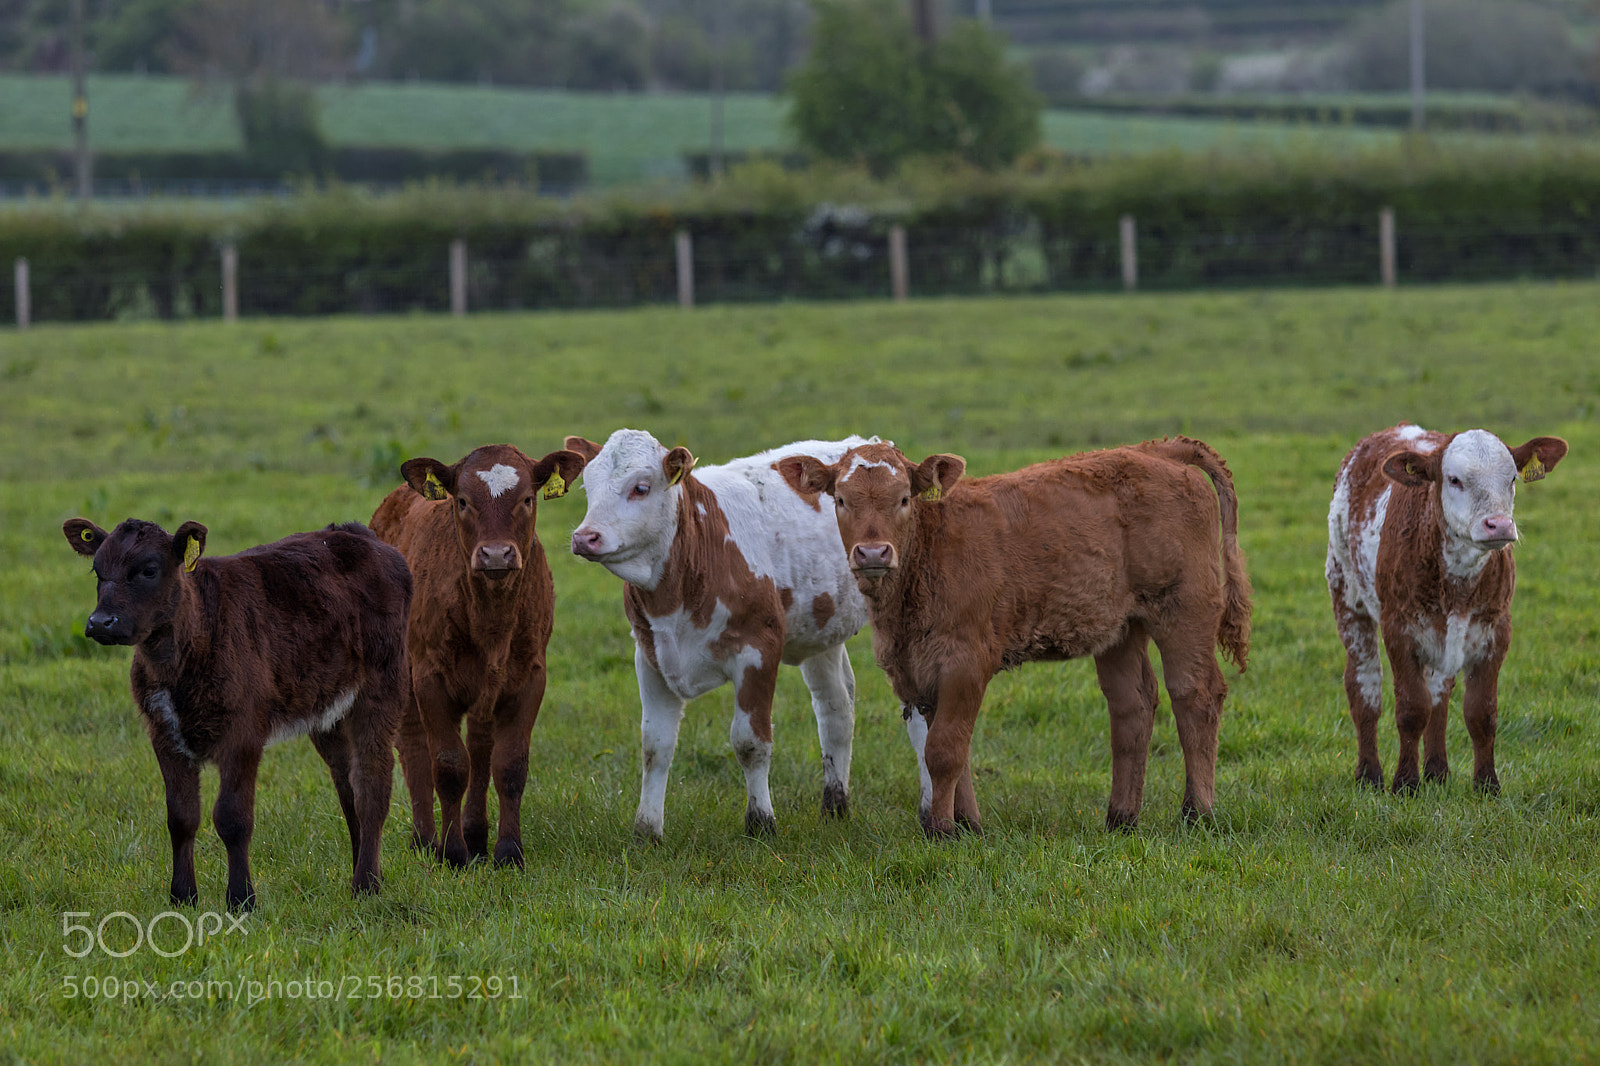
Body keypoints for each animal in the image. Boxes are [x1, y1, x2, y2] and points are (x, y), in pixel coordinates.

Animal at [62, 517, 411, 908]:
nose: (100, 622)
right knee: (348, 788)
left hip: (382, 689)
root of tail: (354, 532)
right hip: (330, 710)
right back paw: (362, 873)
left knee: (372, 786)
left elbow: (232, 818)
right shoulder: (164, 734)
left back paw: (366, 884)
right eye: (98, 571)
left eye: (149, 570)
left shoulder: (243, 734)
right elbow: (181, 817)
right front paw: (182, 896)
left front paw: (242, 899)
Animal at [370, 443, 588, 868]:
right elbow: (449, 765)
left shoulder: (530, 677)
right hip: (401, 670)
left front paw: (508, 850)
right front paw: (452, 852)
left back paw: (476, 835)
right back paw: (426, 838)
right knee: (413, 743)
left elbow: (510, 765)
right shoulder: (430, 677)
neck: (492, 619)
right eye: (463, 501)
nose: (496, 554)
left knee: (481, 746)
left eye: (527, 499)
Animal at [564, 429, 873, 842]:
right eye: (587, 486)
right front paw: (647, 829)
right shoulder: (649, 656)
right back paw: (835, 807)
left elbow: (750, 742)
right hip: (821, 635)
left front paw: (761, 822)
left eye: (640, 488)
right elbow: (655, 746)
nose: (586, 537)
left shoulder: (759, 650)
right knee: (835, 709)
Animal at [777, 437, 1252, 837]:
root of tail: (1157, 450)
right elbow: (950, 747)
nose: (873, 553)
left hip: (1183, 607)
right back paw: (1121, 818)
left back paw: (1197, 813)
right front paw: (967, 824)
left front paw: (941, 829)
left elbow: (945, 749)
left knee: (1195, 695)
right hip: (1121, 625)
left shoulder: (966, 661)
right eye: (841, 500)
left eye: (904, 499)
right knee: (1132, 704)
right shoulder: (919, 669)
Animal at [1326, 423, 1568, 794]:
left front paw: (1487, 785)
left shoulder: (1497, 630)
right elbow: (1411, 708)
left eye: (1512, 478)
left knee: (1438, 696)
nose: (1499, 524)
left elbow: (1481, 712)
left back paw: (1437, 771)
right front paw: (1405, 783)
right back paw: (1369, 774)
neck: (1458, 583)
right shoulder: (1398, 628)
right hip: (1346, 592)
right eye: (1454, 479)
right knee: (1364, 686)